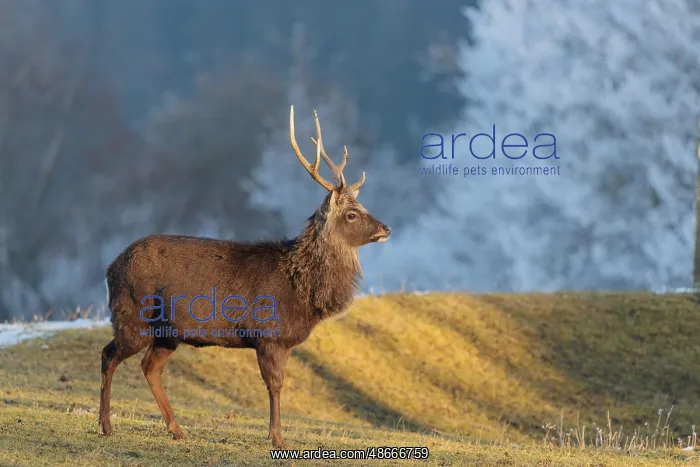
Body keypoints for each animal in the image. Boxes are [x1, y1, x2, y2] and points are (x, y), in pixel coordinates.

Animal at [98, 105, 392, 448]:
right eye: (352, 214)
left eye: (362, 206)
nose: (385, 228)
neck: (302, 290)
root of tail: (111, 268)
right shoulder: (269, 334)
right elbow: (275, 385)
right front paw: (277, 438)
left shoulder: (283, 341)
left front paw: (275, 435)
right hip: (133, 315)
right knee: (109, 355)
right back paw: (106, 425)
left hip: (167, 332)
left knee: (149, 367)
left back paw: (177, 429)